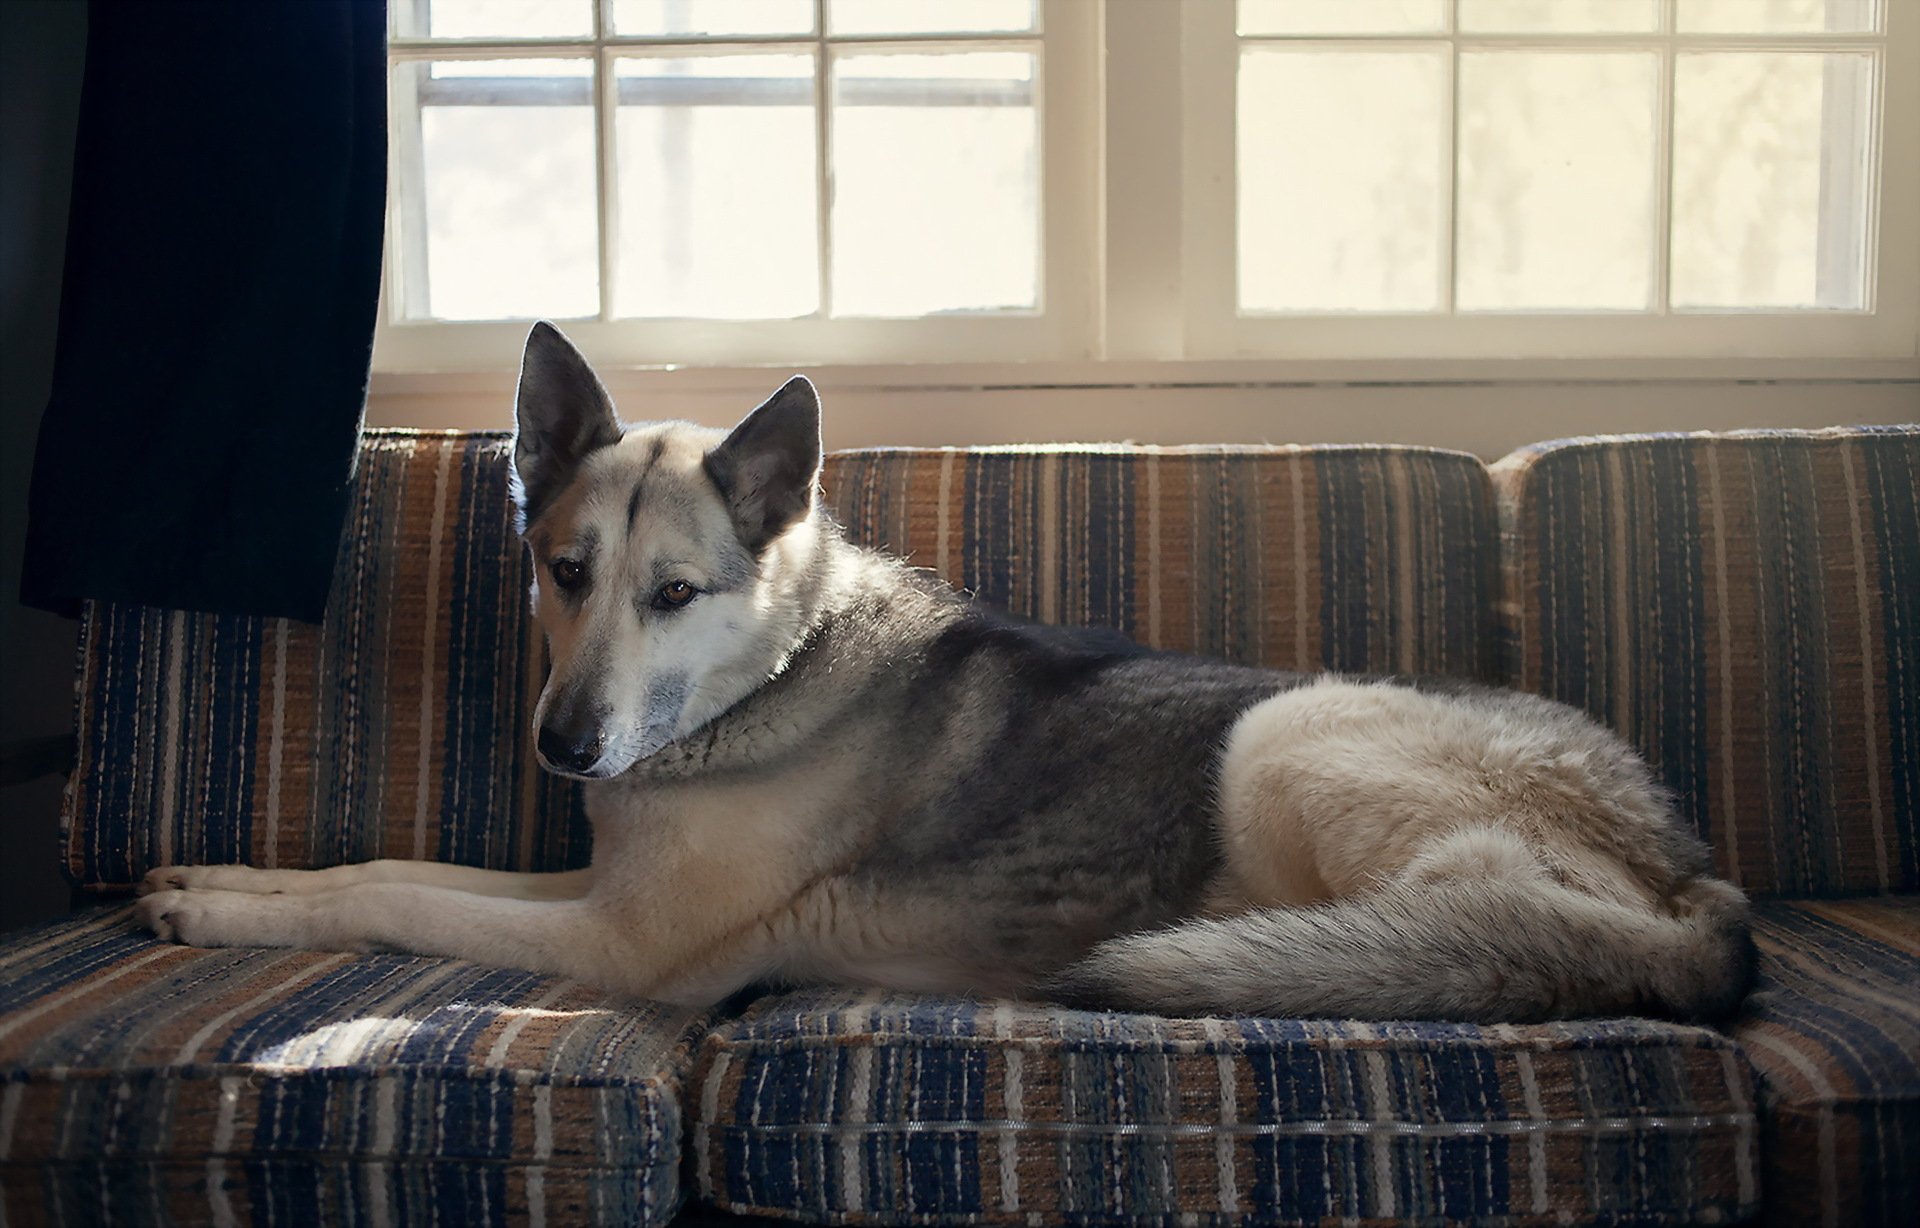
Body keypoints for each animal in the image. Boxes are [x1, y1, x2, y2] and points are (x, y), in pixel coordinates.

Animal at [135, 322, 1758, 1020]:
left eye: (676, 594)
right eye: (565, 572)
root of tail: (1694, 885)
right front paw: (219, 883)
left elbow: (399, 900)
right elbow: (378, 870)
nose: (564, 752)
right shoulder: (595, 890)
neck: (772, 682)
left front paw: (224, 910)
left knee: (1441, 932)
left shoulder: (618, 942)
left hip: (1286, 733)